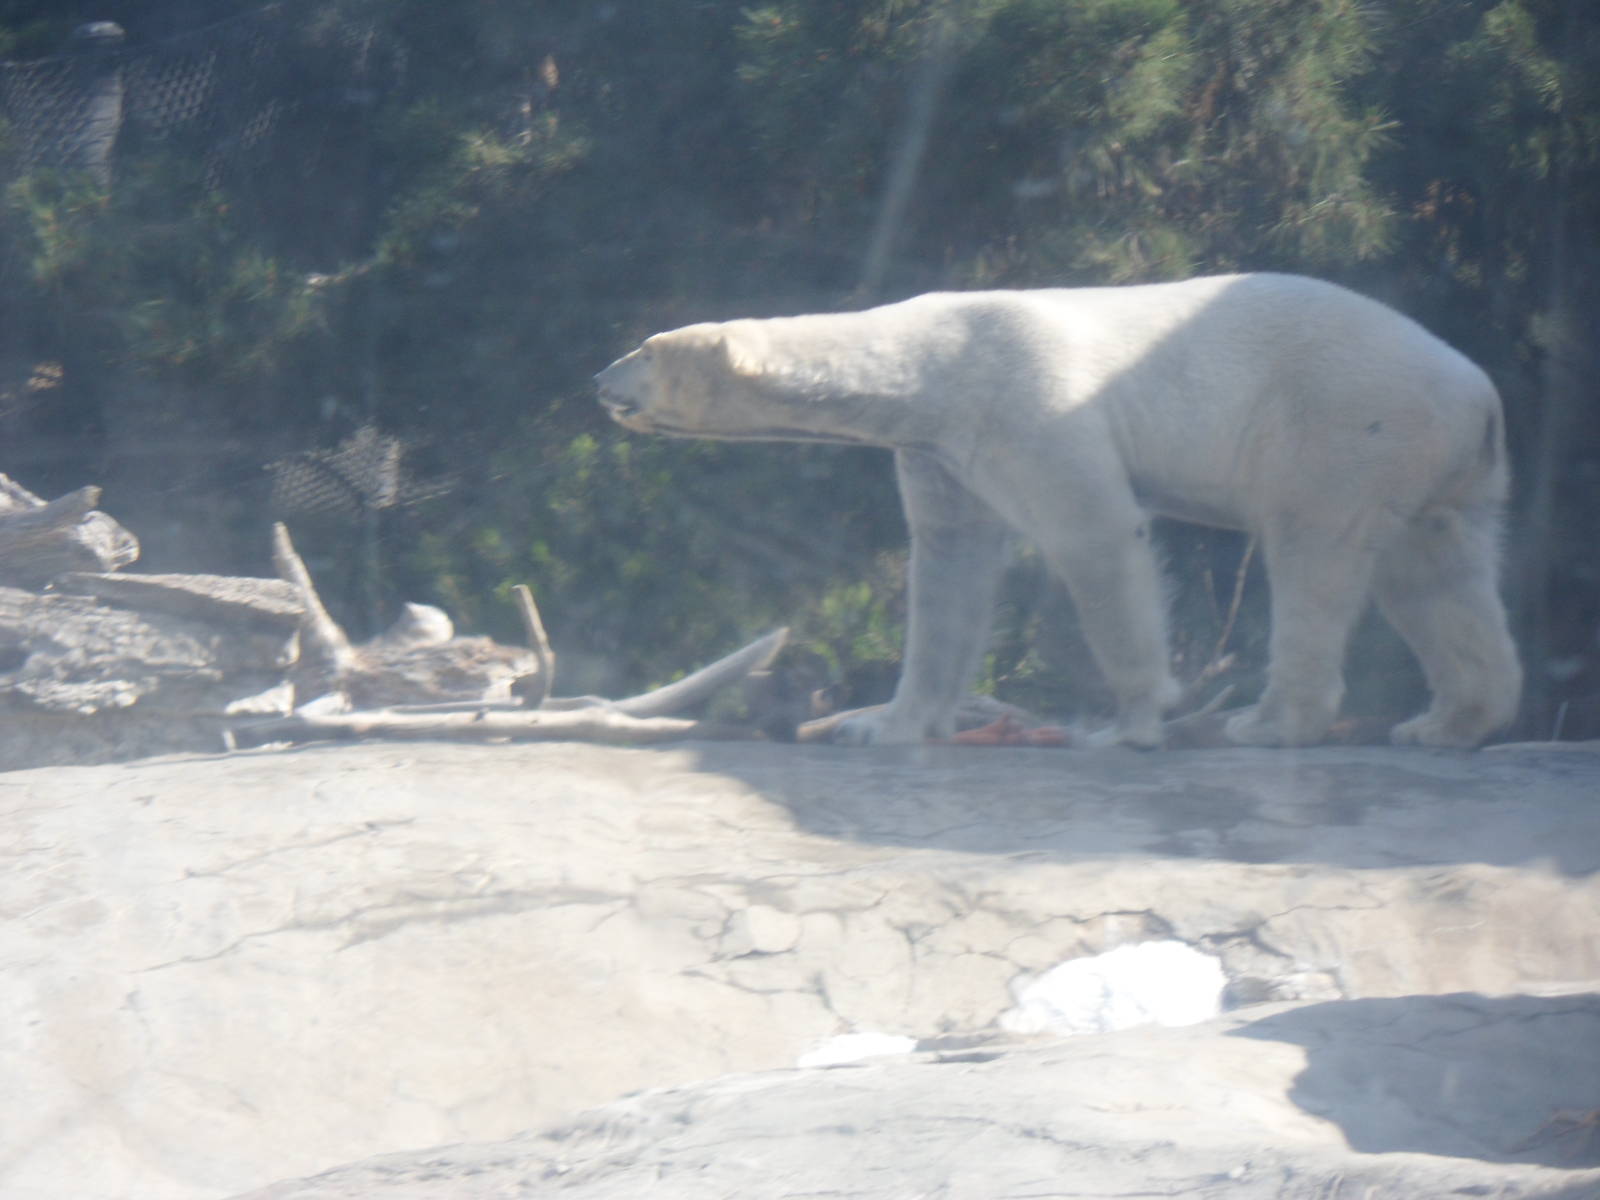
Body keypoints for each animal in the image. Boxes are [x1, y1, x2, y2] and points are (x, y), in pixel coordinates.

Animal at [596, 273, 1522, 749]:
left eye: (644, 348)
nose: (599, 380)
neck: (931, 359)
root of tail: (1479, 392)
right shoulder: (942, 447)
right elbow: (951, 567)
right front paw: (890, 723)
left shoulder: (1025, 400)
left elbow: (1095, 534)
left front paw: (1133, 719)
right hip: (1439, 466)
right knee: (1437, 576)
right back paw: (1445, 721)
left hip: (1343, 423)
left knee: (1315, 555)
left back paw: (1265, 721)